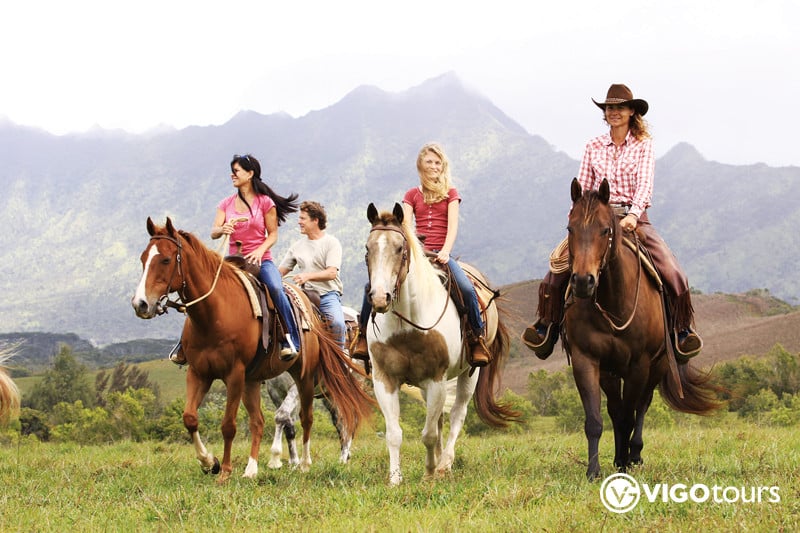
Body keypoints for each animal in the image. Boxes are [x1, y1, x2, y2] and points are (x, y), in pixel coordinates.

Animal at [132, 217, 376, 482]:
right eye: (143, 259)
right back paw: (255, 468)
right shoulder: (201, 373)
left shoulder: (237, 375)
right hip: (277, 384)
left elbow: (236, 423)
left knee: (327, 418)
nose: (140, 304)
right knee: (274, 421)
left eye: (166, 259)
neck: (215, 314)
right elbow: (190, 417)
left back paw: (318, 461)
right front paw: (210, 462)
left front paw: (232, 469)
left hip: (309, 380)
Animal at [364, 202, 520, 484]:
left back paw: (445, 464)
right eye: (367, 248)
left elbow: (428, 434)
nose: (381, 298)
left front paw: (430, 472)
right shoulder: (384, 379)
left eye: (400, 249)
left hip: (470, 373)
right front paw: (395, 479)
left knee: (457, 414)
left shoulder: (436, 379)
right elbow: (395, 434)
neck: (408, 324)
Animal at [564, 178, 720, 478]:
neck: (614, 302)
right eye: (570, 229)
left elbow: (630, 415)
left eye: (605, 230)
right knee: (615, 409)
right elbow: (596, 419)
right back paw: (617, 456)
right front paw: (594, 471)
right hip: (611, 371)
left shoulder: (639, 364)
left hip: (658, 366)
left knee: (641, 406)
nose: (583, 282)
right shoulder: (586, 359)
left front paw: (625, 465)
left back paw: (633, 454)